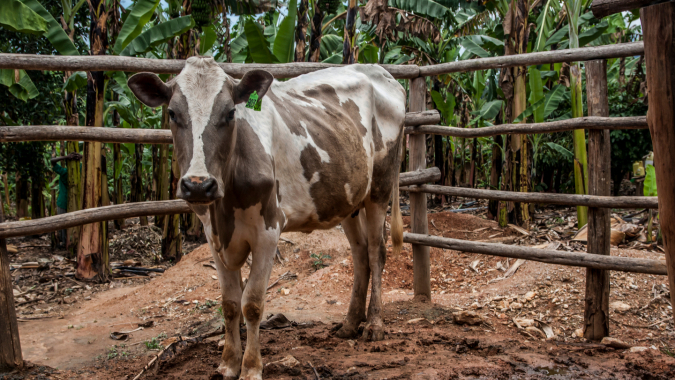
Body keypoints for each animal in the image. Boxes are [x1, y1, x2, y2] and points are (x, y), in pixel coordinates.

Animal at [129, 57, 406, 380]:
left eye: (230, 112)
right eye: (172, 113)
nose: (198, 184)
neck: (224, 207)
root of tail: (380, 70)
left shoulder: (268, 232)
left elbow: (252, 303)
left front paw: (251, 367)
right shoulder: (212, 237)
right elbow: (229, 303)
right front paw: (228, 363)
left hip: (380, 188)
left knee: (376, 252)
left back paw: (374, 325)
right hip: (347, 198)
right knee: (360, 254)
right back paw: (350, 324)